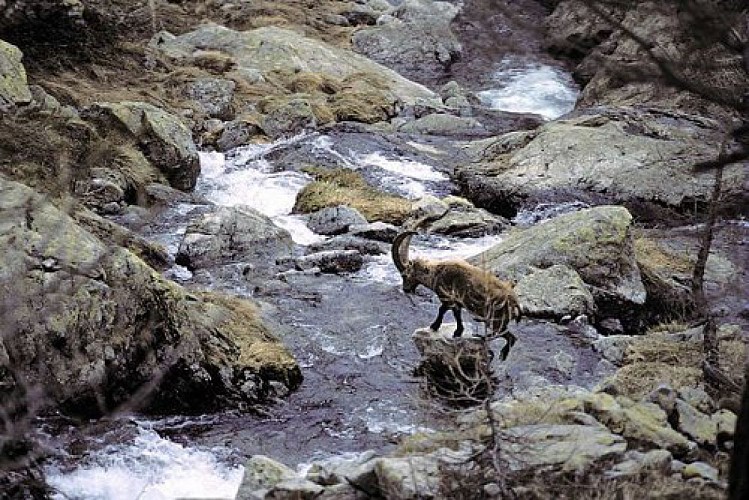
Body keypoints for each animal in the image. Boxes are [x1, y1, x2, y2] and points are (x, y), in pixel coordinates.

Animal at [392, 231, 522, 361]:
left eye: (404, 275)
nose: (406, 289)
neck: (435, 273)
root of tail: (515, 303)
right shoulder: (456, 302)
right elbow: (457, 314)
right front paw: (458, 332)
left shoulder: (447, 297)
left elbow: (443, 310)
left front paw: (435, 326)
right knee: (506, 335)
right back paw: (483, 339)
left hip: (495, 320)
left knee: (508, 336)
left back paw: (497, 349)